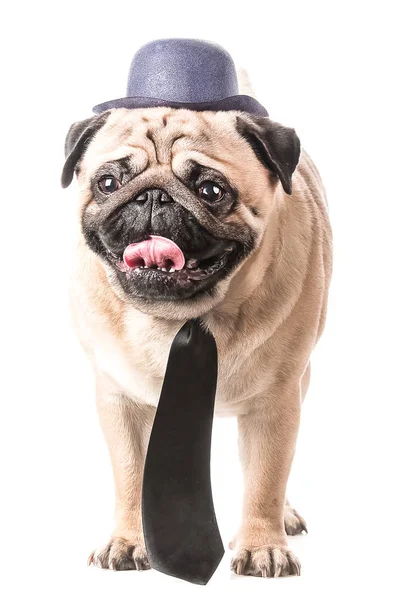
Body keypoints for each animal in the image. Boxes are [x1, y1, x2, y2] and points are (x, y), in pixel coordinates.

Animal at [63, 101, 332, 580]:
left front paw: (263, 545)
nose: (153, 196)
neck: (178, 315)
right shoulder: (120, 401)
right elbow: (131, 473)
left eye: (211, 190)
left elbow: (266, 477)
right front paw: (129, 540)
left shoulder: (275, 405)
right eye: (108, 183)